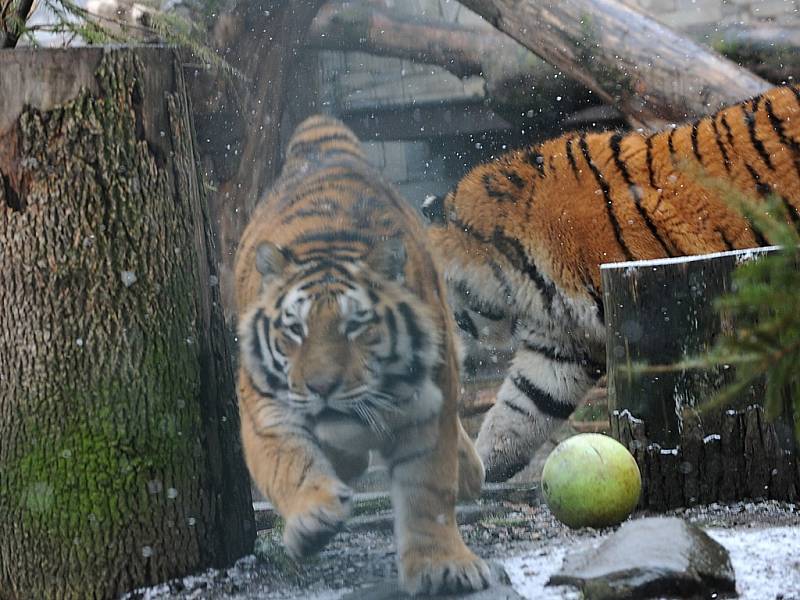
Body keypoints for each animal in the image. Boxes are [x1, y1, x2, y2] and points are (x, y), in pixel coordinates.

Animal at [234, 115, 490, 592]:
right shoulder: (266, 404)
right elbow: (289, 462)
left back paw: (469, 474)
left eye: (355, 326)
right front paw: (313, 518)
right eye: (294, 330)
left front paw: (443, 565)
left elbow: (429, 491)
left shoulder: (429, 407)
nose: (321, 387)